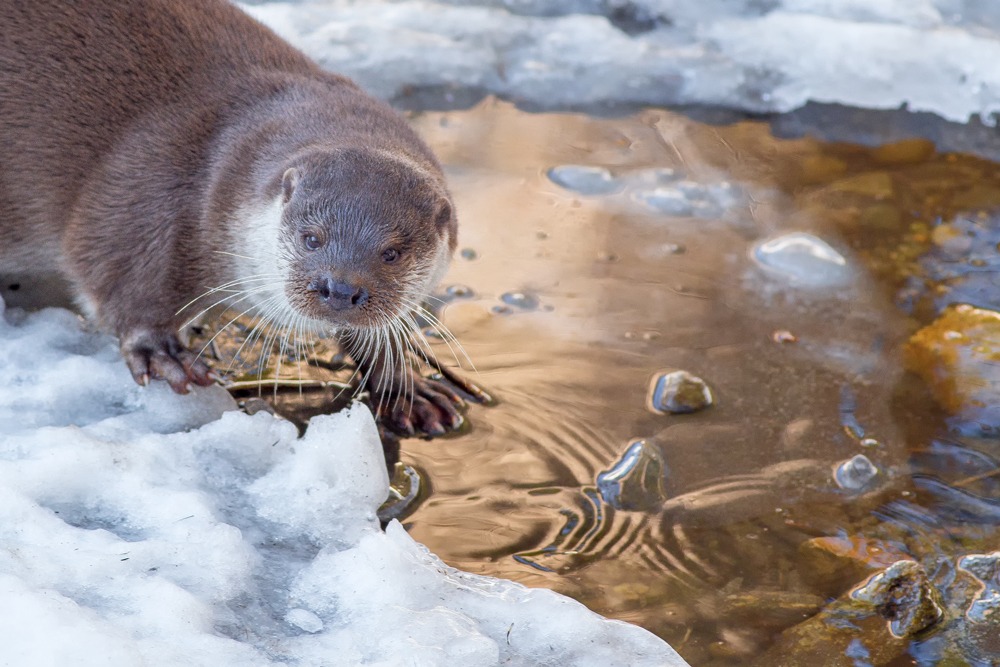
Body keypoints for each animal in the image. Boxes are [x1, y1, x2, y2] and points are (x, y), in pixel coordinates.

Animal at [0, 0, 480, 435]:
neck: (215, 155)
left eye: (392, 253)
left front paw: (406, 386)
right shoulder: (144, 193)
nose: (341, 288)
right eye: (312, 238)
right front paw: (162, 352)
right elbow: (118, 272)